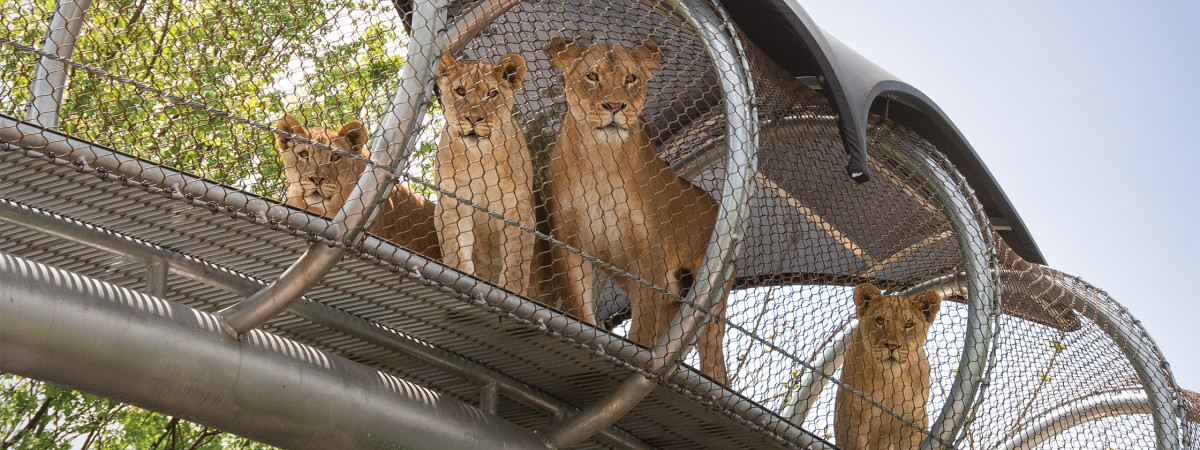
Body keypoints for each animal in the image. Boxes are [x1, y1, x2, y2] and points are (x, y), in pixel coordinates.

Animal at [436, 51, 535, 296]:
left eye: (492, 94)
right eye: (460, 91)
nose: (473, 119)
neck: (480, 157)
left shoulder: (518, 209)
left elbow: (516, 261)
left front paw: (511, 292)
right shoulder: (452, 203)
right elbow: (454, 245)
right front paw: (460, 276)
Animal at [547, 36, 729, 384]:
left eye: (630, 79)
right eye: (592, 76)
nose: (615, 107)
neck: (600, 158)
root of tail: (716, 203)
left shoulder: (649, 251)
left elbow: (642, 327)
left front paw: (636, 356)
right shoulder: (569, 240)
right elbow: (578, 304)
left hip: (709, 302)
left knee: (714, 362)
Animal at [835, 285, 936, 450]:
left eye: (908, 324)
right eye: (880, 321)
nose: (892, 346)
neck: (890, 380)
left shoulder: (914, 419)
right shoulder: (850, 412)